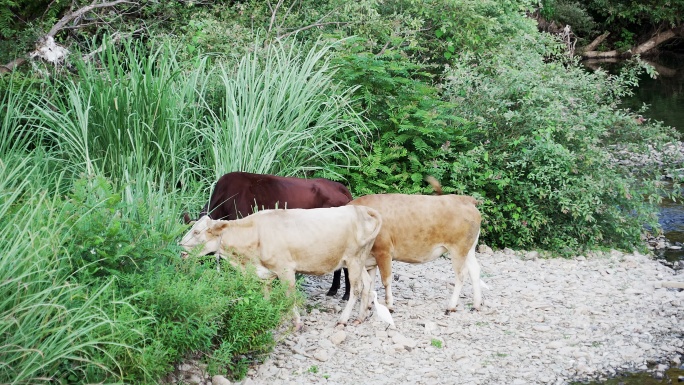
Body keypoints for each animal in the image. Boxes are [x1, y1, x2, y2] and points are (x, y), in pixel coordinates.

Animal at [179, 206, 382, 326]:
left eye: (196, 232)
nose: (180, 249)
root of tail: (360, 208)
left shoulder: (286, 270)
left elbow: (290, 296)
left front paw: (297, 323)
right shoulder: (266, 273)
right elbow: (266, 295)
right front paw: (266, 313)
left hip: (354, 259)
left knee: (356, 289)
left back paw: (343, 319)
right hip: (358, 261)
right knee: (367, 285)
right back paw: (360, 317)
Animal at [340, 180, 480, 312]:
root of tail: (466, 199)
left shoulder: (384, 251)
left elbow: (386, 280)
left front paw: (389, 305)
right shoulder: (371, 257)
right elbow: (372, 281)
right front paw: (369, 304)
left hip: (458, 249)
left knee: (461, 274)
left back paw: (451, 306)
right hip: (469, 249)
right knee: (474, 271)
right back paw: (476, 305)